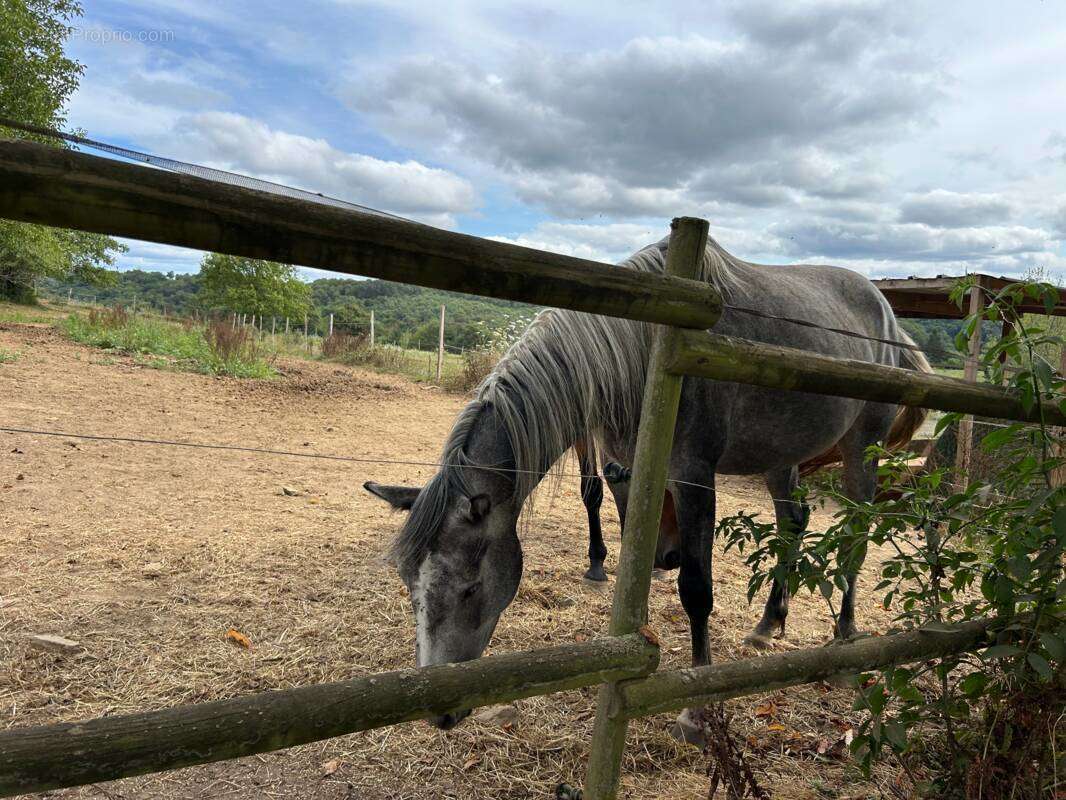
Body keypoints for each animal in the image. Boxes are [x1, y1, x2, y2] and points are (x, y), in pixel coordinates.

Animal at [362, 231, 929, 733]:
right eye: (408, 584)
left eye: (471, 587)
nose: (439, 713)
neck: (644, 353)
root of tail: (891, 321)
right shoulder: (627, 470)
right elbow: (636, 555)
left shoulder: (695, 478)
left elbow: (696, 589)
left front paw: (697, 710)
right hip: (780, 454)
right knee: (793, 522)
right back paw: (769, 625)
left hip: (861, 450)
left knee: (857, 535)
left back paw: (847, 640)